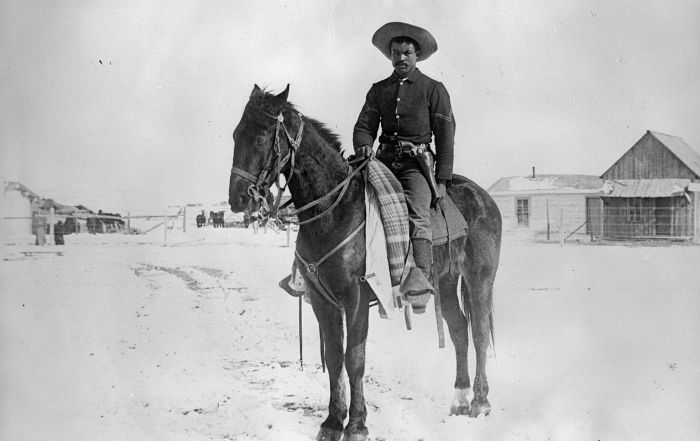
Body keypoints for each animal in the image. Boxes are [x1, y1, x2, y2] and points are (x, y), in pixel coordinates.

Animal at [227, 85, 500, 440]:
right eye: (236, 135)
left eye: (260, 137)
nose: (237, 198)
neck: (334, 209)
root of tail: (485, 199)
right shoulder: (322, 301)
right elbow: (333, 356)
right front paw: (332, 422)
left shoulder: (355, 298)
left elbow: (354, 359)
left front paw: (357, 424)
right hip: (446, 281)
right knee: (459, 330)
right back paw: (460, 399)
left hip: (479, 279)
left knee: (478, 332)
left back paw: (480, 401)